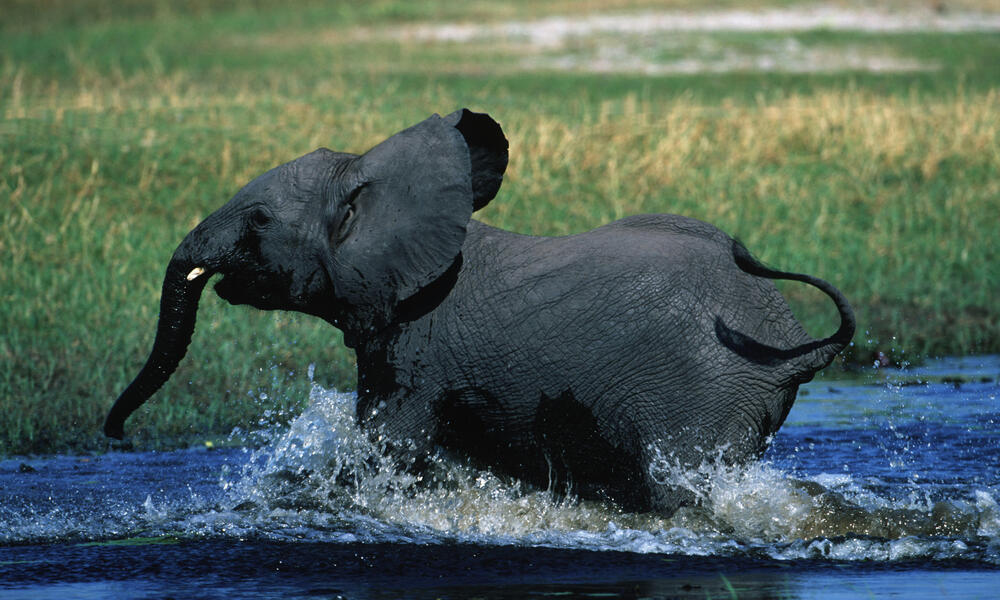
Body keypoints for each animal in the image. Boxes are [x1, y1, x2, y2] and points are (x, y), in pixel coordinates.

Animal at [105, 108, 856, 516]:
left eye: (258, 222)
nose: (114, 436)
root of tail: (794, 343)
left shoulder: (415, 342)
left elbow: (385, 445)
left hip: (706, 396)